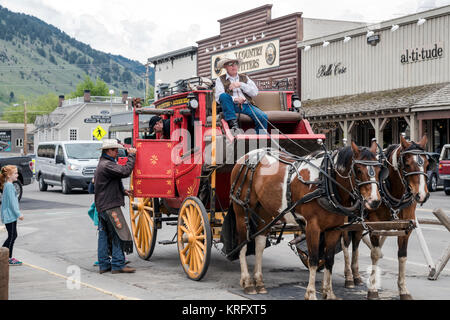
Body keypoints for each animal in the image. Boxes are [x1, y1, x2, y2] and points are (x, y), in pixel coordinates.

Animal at [232, 141, 384, 298]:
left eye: (379, 169)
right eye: (358, 170)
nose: (375, 201)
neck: (325, 183)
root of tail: (246, 156)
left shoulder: (334, 229)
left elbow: (329, 259)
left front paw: (329, 292)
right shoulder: (313, 227)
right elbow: (313, 259)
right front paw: (311, 293)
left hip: (264, 211)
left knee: (259, 245)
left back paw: (259, 282)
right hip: (241, 210)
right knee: (243, 244)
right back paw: (247, 282)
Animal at [342, 136, 430, 300]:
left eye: (427, 163)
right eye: (407, 164)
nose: (422, 195)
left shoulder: (406, 226)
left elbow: (402, 256)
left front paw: (403, 289)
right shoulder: (374, 225)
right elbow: (375, 254)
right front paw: (373, 289)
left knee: (356, 241)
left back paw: (356, 275)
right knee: (345, 244)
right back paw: (349, 277)